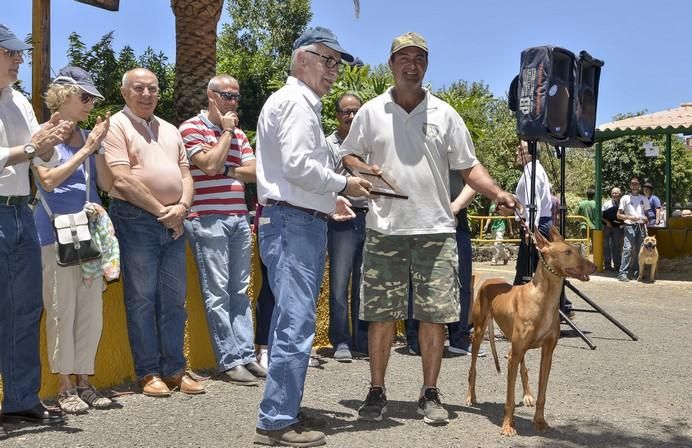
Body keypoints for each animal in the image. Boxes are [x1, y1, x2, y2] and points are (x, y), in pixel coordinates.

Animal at [464, 226, 596, 436]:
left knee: (522, 368)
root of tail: (490, 280)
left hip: (515, 344)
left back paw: (527, 395)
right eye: (567, 252)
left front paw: (539, 421)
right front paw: (508, 425)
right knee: (473, 368)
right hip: (479, 333)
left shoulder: (547, 353)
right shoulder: (516, 350)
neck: (545, 300)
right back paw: (470, 397)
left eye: (576, 249)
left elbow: (542, 393)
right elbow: (509, 397)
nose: (594, 267)